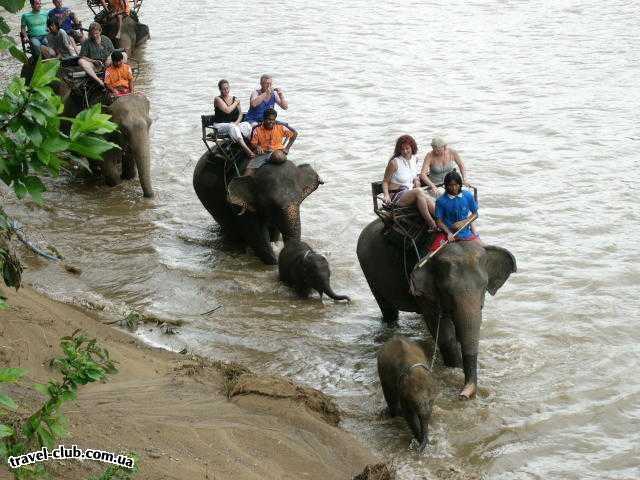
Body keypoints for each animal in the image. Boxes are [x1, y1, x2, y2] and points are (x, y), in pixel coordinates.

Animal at [358, 219, 516, 400]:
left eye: (484, 287)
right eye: (447, 291)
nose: (463, 396)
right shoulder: (420, 285)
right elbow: (444, 332)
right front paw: (455, 368)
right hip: (369, 273)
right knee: (388, 310)